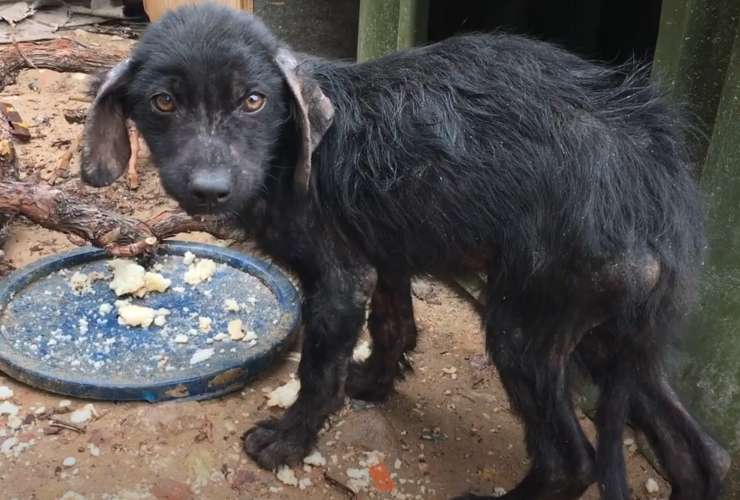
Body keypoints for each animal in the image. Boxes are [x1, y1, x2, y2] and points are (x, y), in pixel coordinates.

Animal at [79, 4, 728, 500]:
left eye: (254, 101)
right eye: (163, 102)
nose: (209, 190)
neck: (290, 153)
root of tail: (658, 190)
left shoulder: (340, 278)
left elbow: (318, 371)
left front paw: (288, 442)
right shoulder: (383, 252)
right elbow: (393, 324)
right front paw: (371, 382)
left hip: (529, 327)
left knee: (573, 460)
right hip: (612, 335)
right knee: (702, 451)